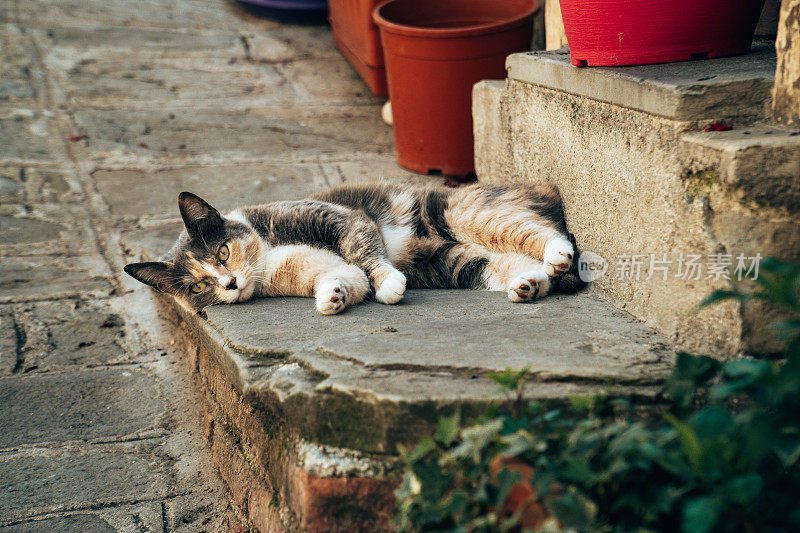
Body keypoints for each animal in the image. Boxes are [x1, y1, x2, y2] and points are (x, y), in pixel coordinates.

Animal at [126, 183, 588, 316]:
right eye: (199, 287)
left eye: (221, 252)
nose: (230, 284)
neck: (266, 255)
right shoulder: (306, 265)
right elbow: (346, 275)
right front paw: (333, 297)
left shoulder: (338, 217)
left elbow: (364, 251)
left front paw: (388, 284)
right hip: (451, 261)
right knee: (502, 264)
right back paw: (529, 284)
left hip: (463, 214)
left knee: (541, 230)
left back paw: (558, 254)